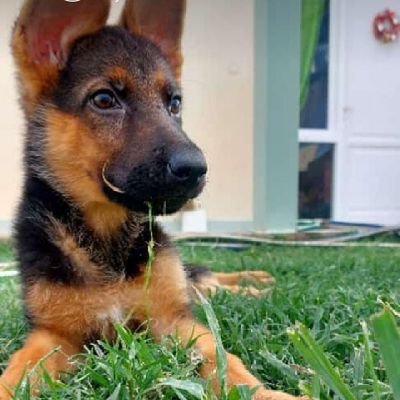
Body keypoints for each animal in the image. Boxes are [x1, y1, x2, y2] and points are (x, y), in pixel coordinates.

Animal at [0, 1, 300, 398]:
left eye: (174, 104)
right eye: (104, 99)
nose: (196, 168)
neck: (107, 238)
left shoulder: (175, 320)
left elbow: (224, 360)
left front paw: (266, 392)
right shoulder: (53, 334)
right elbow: (17, 370)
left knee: (207, 279)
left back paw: (256, 285)